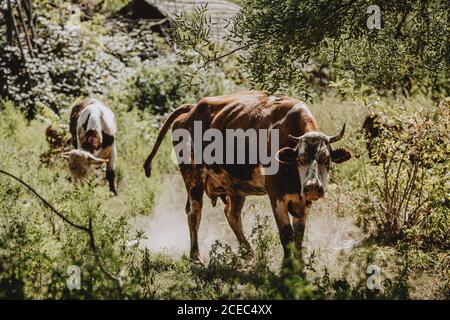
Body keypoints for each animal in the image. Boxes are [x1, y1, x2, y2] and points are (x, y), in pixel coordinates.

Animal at [142, 91, 350, 264]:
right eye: (300, 159)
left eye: (327, 159)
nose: (313, 187)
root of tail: (192, 108)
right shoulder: (276, 195)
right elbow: (286, 234)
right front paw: (287, 267)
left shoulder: (303, 199)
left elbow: (298, 235)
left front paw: (299, 266)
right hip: (193, 175)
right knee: (195, 212)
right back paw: (196, 255)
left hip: (235, 186)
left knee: (232, 214)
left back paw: (248, 251)